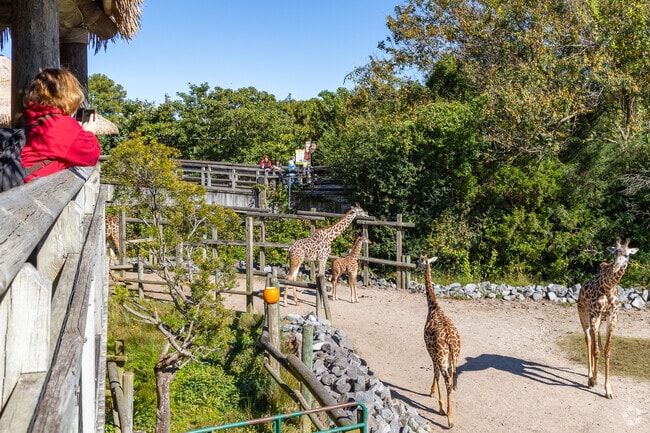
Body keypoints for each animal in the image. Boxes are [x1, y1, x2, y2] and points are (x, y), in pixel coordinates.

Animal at [417, 252, 461, 428]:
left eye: (419, 260)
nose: (415, 265)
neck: (433, 307)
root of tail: (451, 341)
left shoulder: (431, 350)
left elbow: (435, 373)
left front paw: (434, 397)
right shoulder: (443, 357)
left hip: (442, 356)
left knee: (447, 379)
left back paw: (449, 419)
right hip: (454, 356)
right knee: (451, 378)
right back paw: (450, 415)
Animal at [577, 237, 638, 399]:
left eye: (627, 255)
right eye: (614, 253)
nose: (615, 267)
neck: (608, 287)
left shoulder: (613, 317)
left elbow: (607, 350)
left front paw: (608, 389)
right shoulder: (594, 315)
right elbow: (596, 350)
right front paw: (593, 380)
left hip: (600, 321)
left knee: (595, 338)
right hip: (583, 314)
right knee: (588, 339)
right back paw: (589, 375)